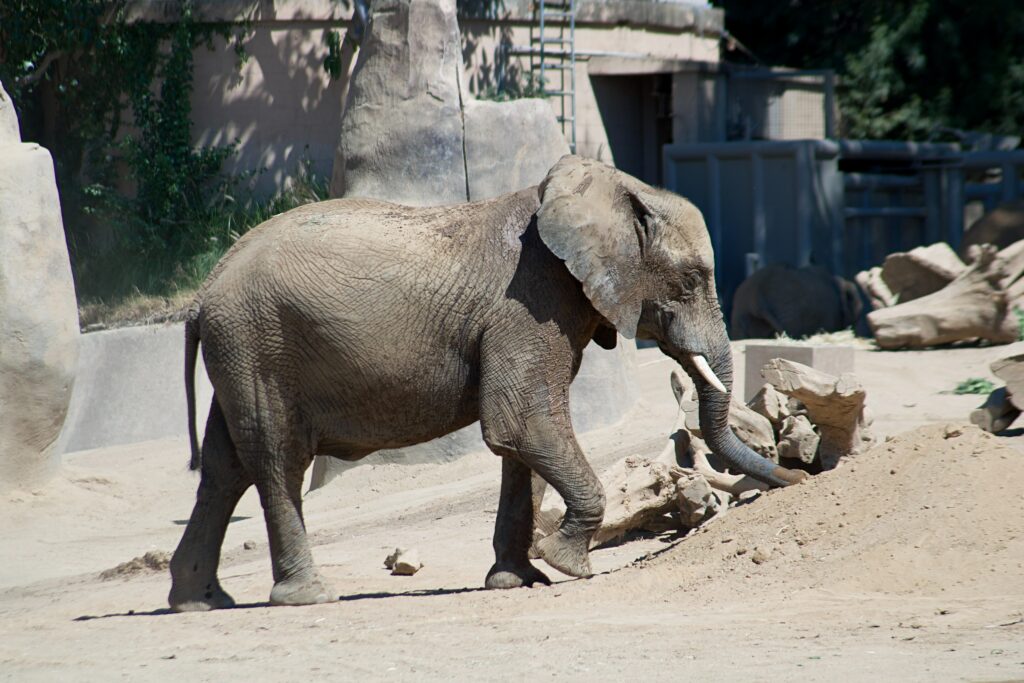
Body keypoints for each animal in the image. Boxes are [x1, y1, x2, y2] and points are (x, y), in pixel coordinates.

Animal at [167, 156, 806, 614]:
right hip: (260, 345)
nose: (796, 479)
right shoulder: (528, 305)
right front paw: (567, 567)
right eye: (692, 280)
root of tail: (201, 296)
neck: (605, 187)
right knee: (276, 460)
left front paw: (519, 580)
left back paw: (199, 602)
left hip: (243, 351)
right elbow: (523, 424)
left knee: (225, 468)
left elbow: (520, 443)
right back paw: (308, 597)